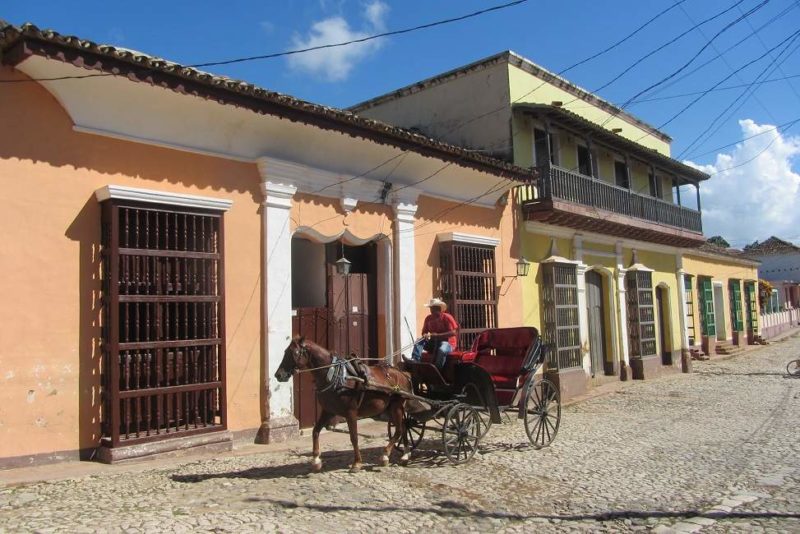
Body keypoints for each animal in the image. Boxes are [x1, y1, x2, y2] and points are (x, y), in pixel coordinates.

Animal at [276, 340, 412, 474]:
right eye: (285, 351)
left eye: (295, 352)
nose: (278, 375)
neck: (334, 376)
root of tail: (403, 374)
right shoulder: (328, 411)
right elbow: (315, 431)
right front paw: (316, 461)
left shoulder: (350, 413)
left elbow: (354, 437)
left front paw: (356, 463)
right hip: (390, 408)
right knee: (405, 426)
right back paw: (405, 455)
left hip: (396, 406)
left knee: (399, 430)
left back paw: (385, 455)